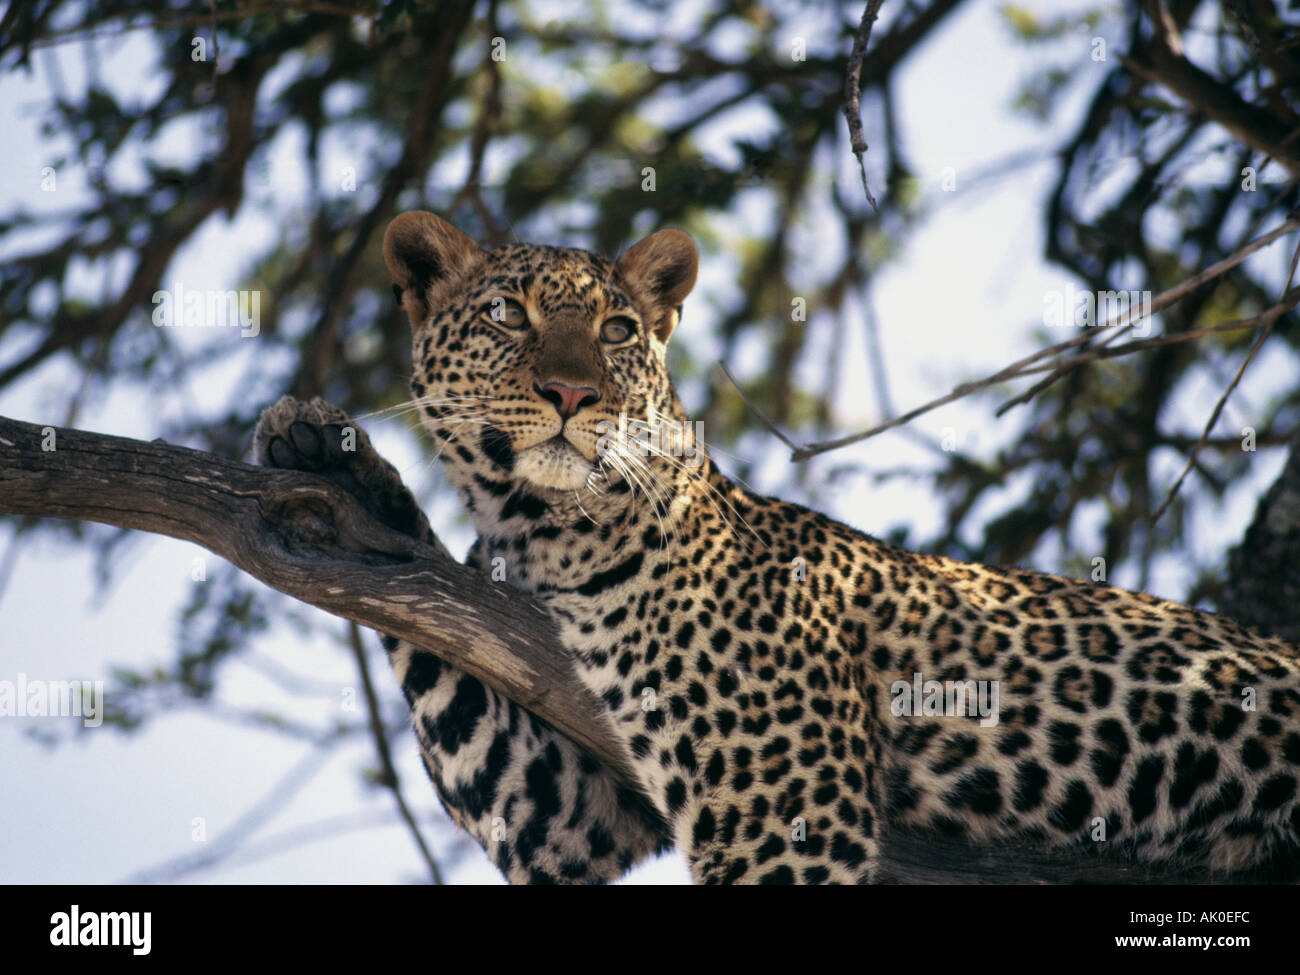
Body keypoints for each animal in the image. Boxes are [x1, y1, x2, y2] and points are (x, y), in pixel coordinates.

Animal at [254, 210, 1300, 884]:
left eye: (618, 329)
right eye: (508, 315)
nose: (572, 393)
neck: (540, 531)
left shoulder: (784, 819)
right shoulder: (566, 803)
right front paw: (335, 467)